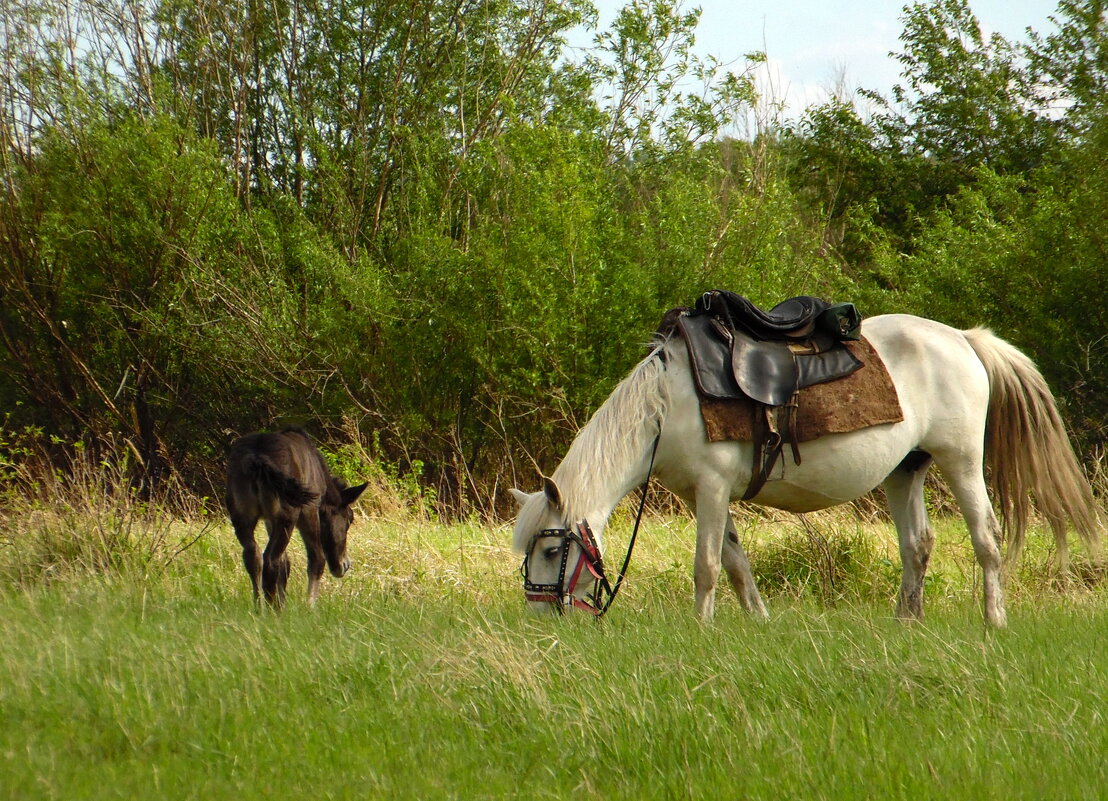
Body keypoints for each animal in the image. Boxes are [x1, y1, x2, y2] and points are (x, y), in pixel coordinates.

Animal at [511, 312, 1099, 624]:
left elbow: (707, 567)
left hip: (961, 462)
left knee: (986, 539)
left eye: (552, 550)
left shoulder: (711, 489)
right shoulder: (708, 496)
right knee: (918, 545)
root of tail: (962, 339)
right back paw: (906, 622)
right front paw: (757, 621)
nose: (541, 617)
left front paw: (702, 627)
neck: (666, 405)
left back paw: (993, 620)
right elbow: (736, 564)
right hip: (905, 471)